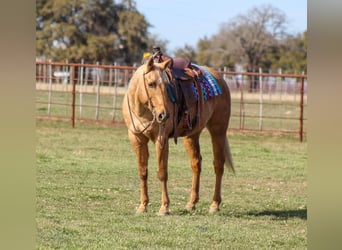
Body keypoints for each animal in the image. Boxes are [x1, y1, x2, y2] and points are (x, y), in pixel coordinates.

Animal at [121, 56, 234, 215]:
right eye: (151, 84)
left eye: (167, 85)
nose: (164, 115)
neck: (143, 111)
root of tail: (219, 78)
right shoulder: (136, 139)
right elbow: (142, 171)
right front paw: (142, 206)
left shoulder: (161, 140)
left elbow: (162, 172)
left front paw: (164, 207)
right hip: (192, 135)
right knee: (196, 163)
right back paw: (191, 203)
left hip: (218, 131)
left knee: (218, 164)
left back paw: (214, 204)